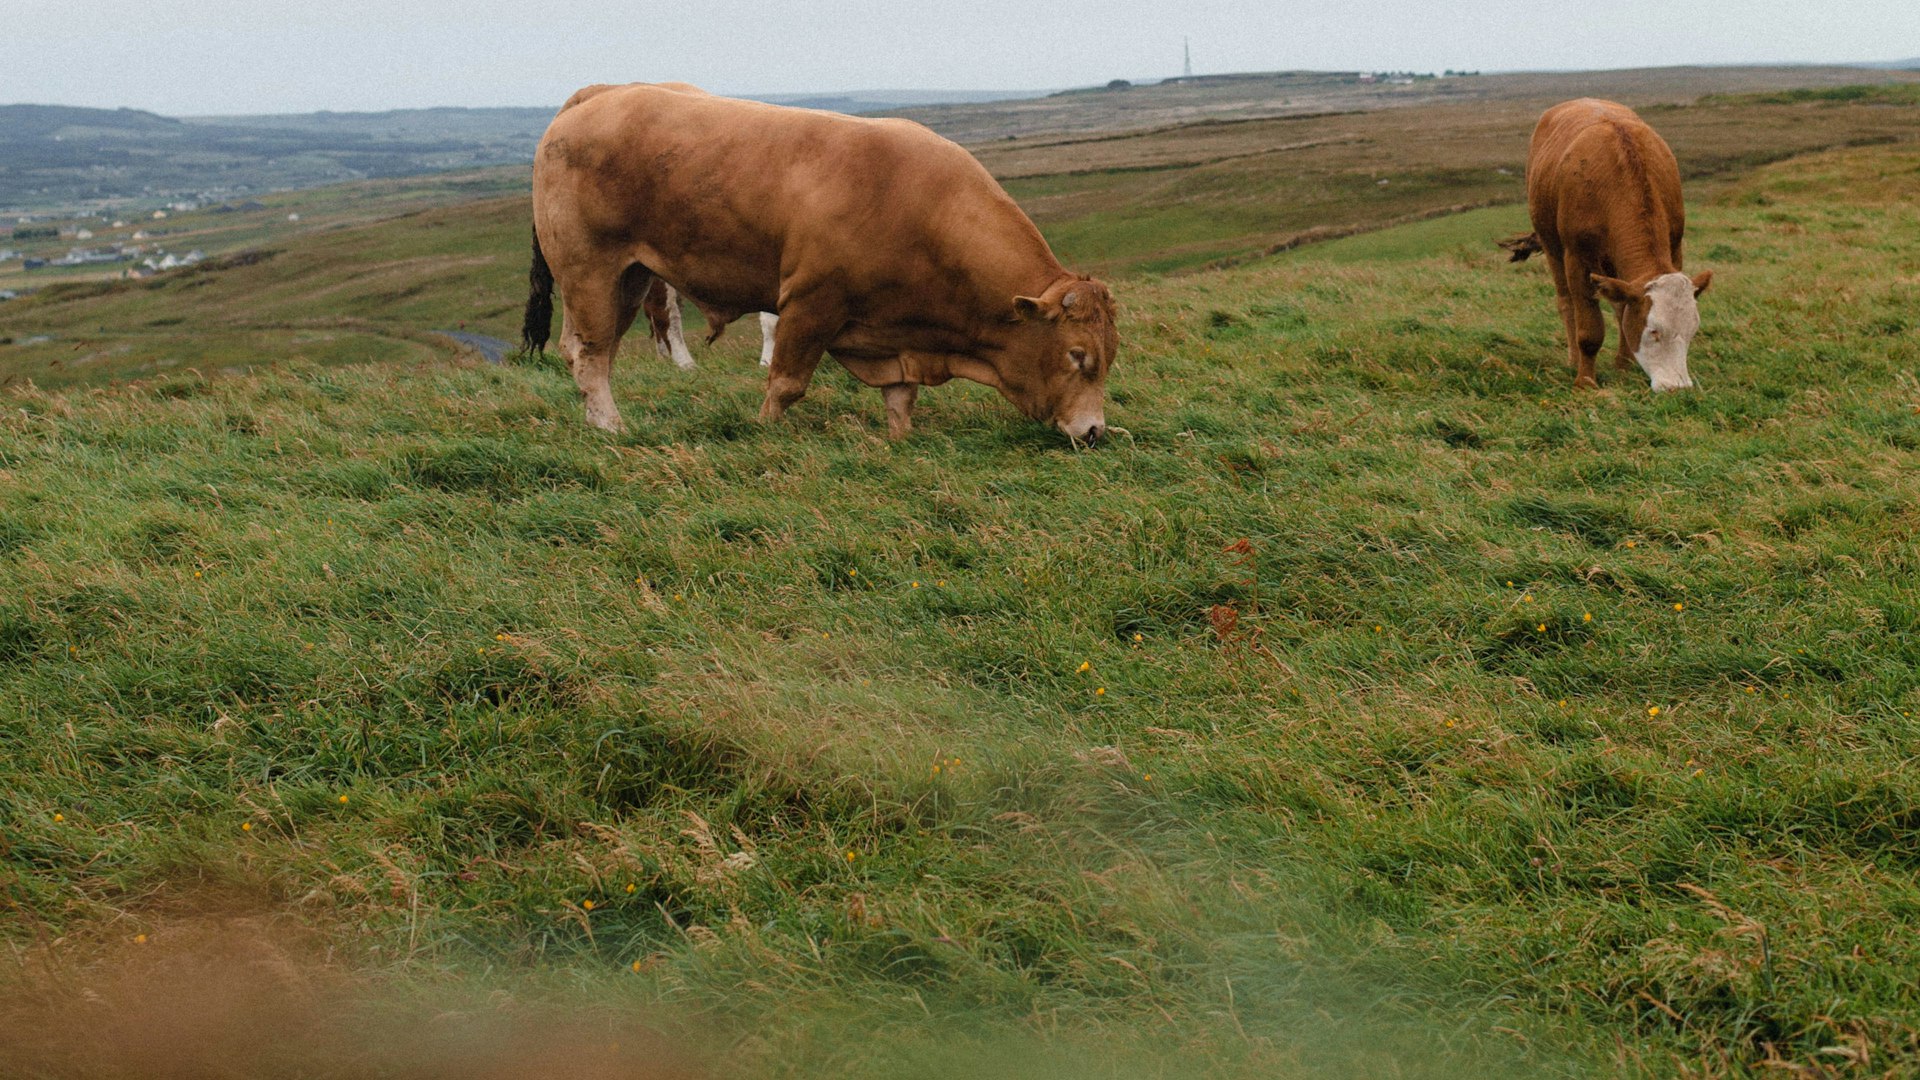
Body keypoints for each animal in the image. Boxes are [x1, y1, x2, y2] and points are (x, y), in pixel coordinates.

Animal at [518, 79, 1121, 441]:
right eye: (1076, 355)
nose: (1094, 432)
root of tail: (602, 93)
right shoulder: (812, 303)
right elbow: (786, 383)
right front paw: (765, 431)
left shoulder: (895, 332)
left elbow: (901, 395)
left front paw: (899, 438)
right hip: (591, 272)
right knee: (588, 354)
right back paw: (610, 428)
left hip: (632, 278)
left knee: (603, 352)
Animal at [1497, 97, 1712, 390]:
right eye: (1653, 330)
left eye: (1692, 330)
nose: (1677, 388)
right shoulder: (1577, 259)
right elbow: (1590, 330)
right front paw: (1585, 382)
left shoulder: (1674, 248)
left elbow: (1624, 313)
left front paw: (1624, 368)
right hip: (1553, 247)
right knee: (1566, 303)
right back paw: (1573, 360)